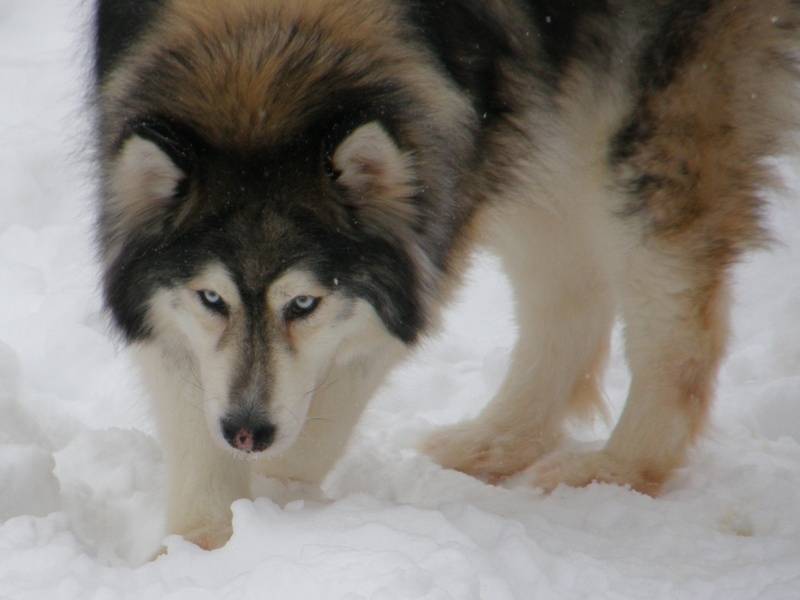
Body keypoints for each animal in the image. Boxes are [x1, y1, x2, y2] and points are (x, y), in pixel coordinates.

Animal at [93, 0, 800, 550]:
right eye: (211, 298)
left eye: (304, 305)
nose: (247, 431)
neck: (264, 49)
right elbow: (199, 433)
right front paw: (201, 547)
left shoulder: (428, 223)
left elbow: (318, 419)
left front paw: (271, 515)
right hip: (532, 131)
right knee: (572, 293)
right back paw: (496, 443)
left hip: (630, 128)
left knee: (677, 330)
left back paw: (616, 469)